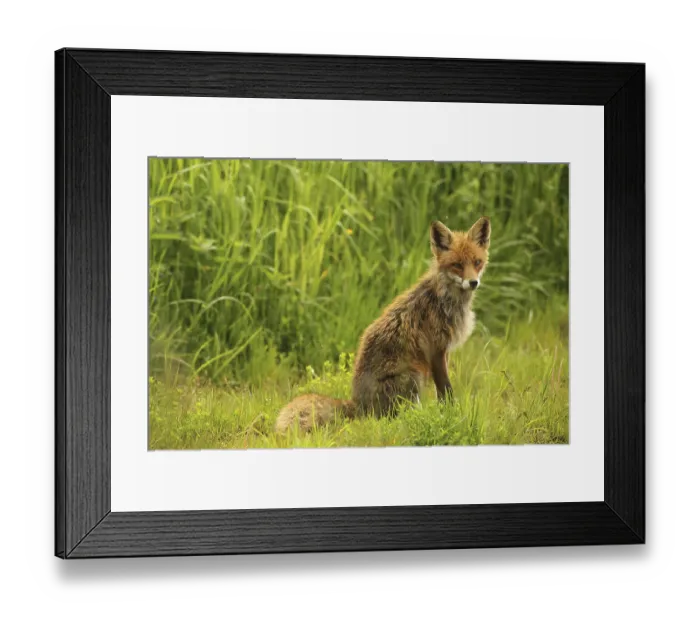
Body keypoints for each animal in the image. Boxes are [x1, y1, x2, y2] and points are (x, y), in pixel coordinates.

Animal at [275, 216, 491, 434]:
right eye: (457, 265)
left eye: (477, 262)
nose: (473, 282)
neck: (445, 298)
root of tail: (359, 404)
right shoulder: (436, 350)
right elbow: (446, 391)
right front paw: (449, 417)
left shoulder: (444, 351)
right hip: (413, 376)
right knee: (395, 417)